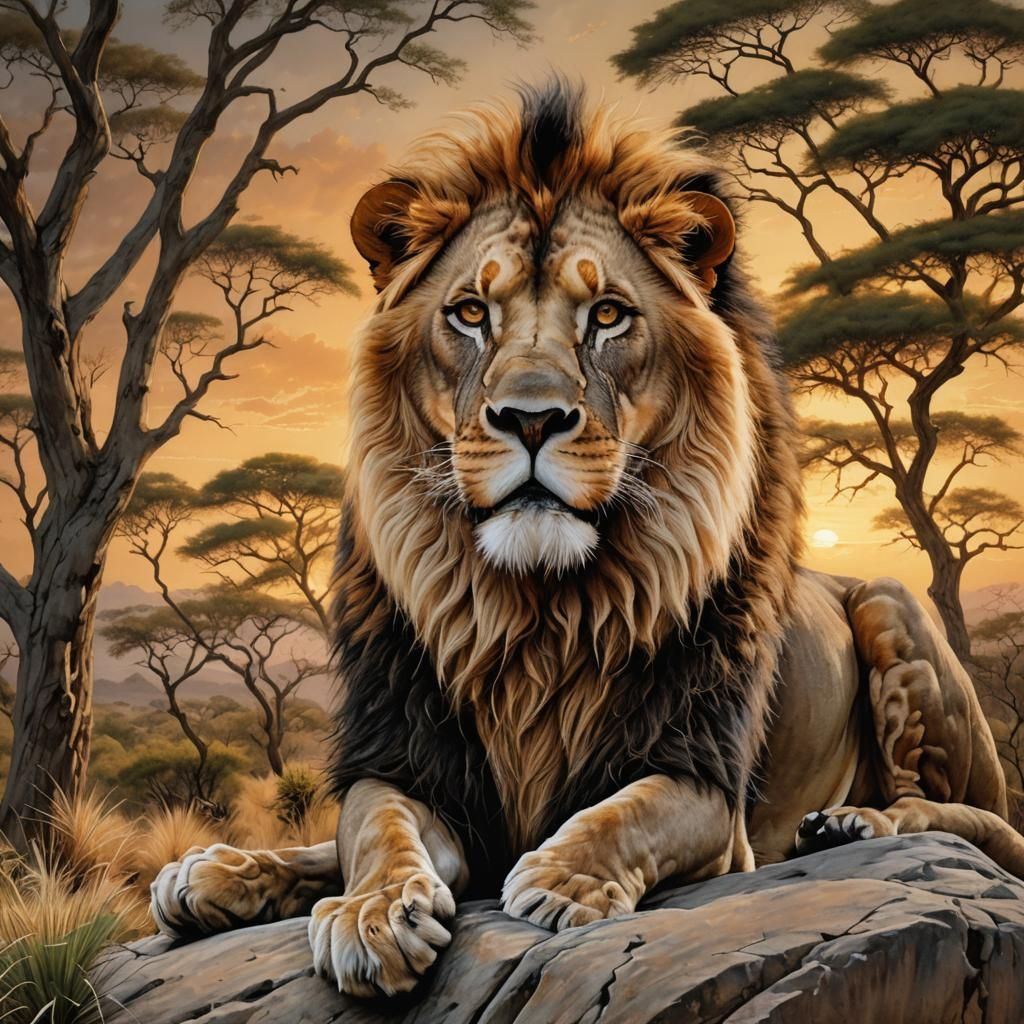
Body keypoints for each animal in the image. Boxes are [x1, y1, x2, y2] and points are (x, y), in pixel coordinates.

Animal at [150, 80, 1024, 998]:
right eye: (470, 313)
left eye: (607, 315)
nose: (531, 418)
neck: (535, 610)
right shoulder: (410, 754)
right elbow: (369, 831)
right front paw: (346, 904)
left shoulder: (706, 784)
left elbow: (628, 811)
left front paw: (560, 879)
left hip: (892, 611)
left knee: (973, 819)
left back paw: (855, 823)